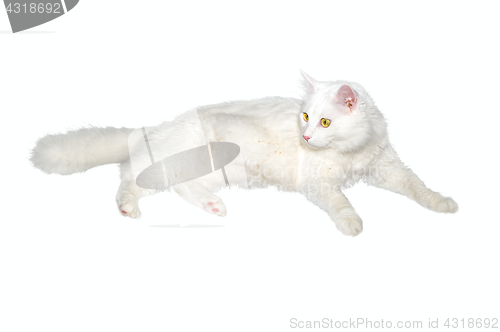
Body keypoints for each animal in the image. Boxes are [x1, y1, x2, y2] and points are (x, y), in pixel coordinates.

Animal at [30, 71, 458, 235]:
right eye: (306, 116)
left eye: (324, 122)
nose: (305, 136)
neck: (350, 152)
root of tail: (156, 127)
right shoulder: (319, 183)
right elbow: (342, 203)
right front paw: (352, 224)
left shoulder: (386, 167)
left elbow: (419, 188)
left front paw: (443, 204)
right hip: (181, 160)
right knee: (127, 175)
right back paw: (128, 209)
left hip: (208, 170)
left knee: (178, 187)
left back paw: (213, 207)